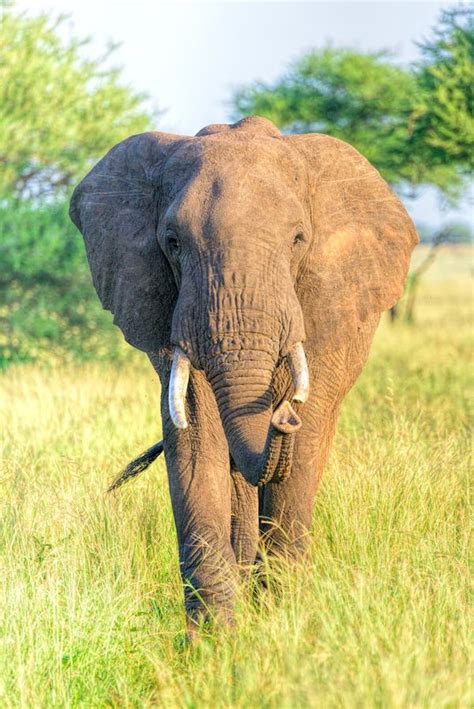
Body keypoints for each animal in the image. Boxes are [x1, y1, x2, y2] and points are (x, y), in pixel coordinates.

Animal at [68, 113, 416, 628]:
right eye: (172, 243)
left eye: (298, 240)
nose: (282, 415)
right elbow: (195, 435)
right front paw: (217, 641)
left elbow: (305, 442)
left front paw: (283, 624)